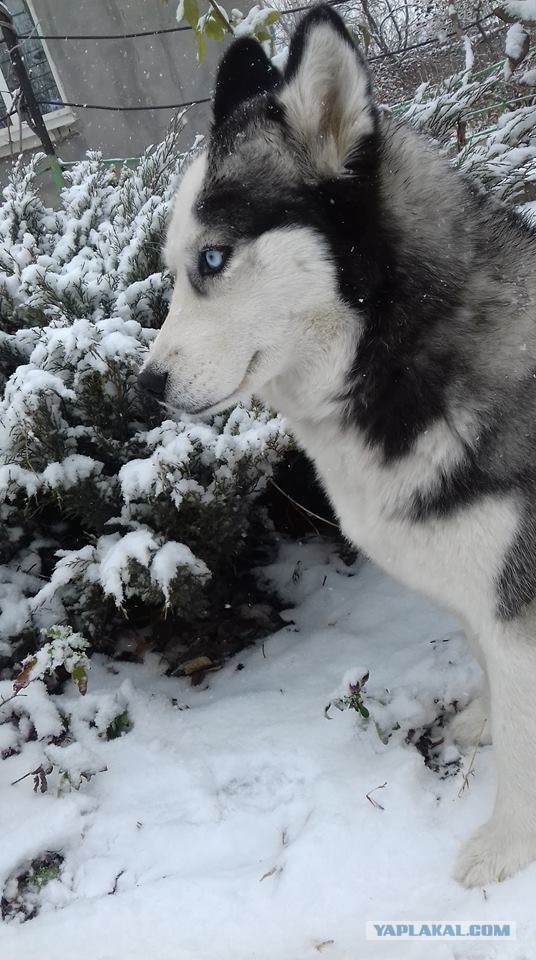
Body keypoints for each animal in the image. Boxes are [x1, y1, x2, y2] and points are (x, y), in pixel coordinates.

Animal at [139, 5, 536, 884]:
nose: (143, 386)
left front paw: (504, 848)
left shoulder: (519, 598)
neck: (401, 348)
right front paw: (483, 722)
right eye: (172, 268)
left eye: (212, 258)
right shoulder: (482, 594)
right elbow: (499, 689)